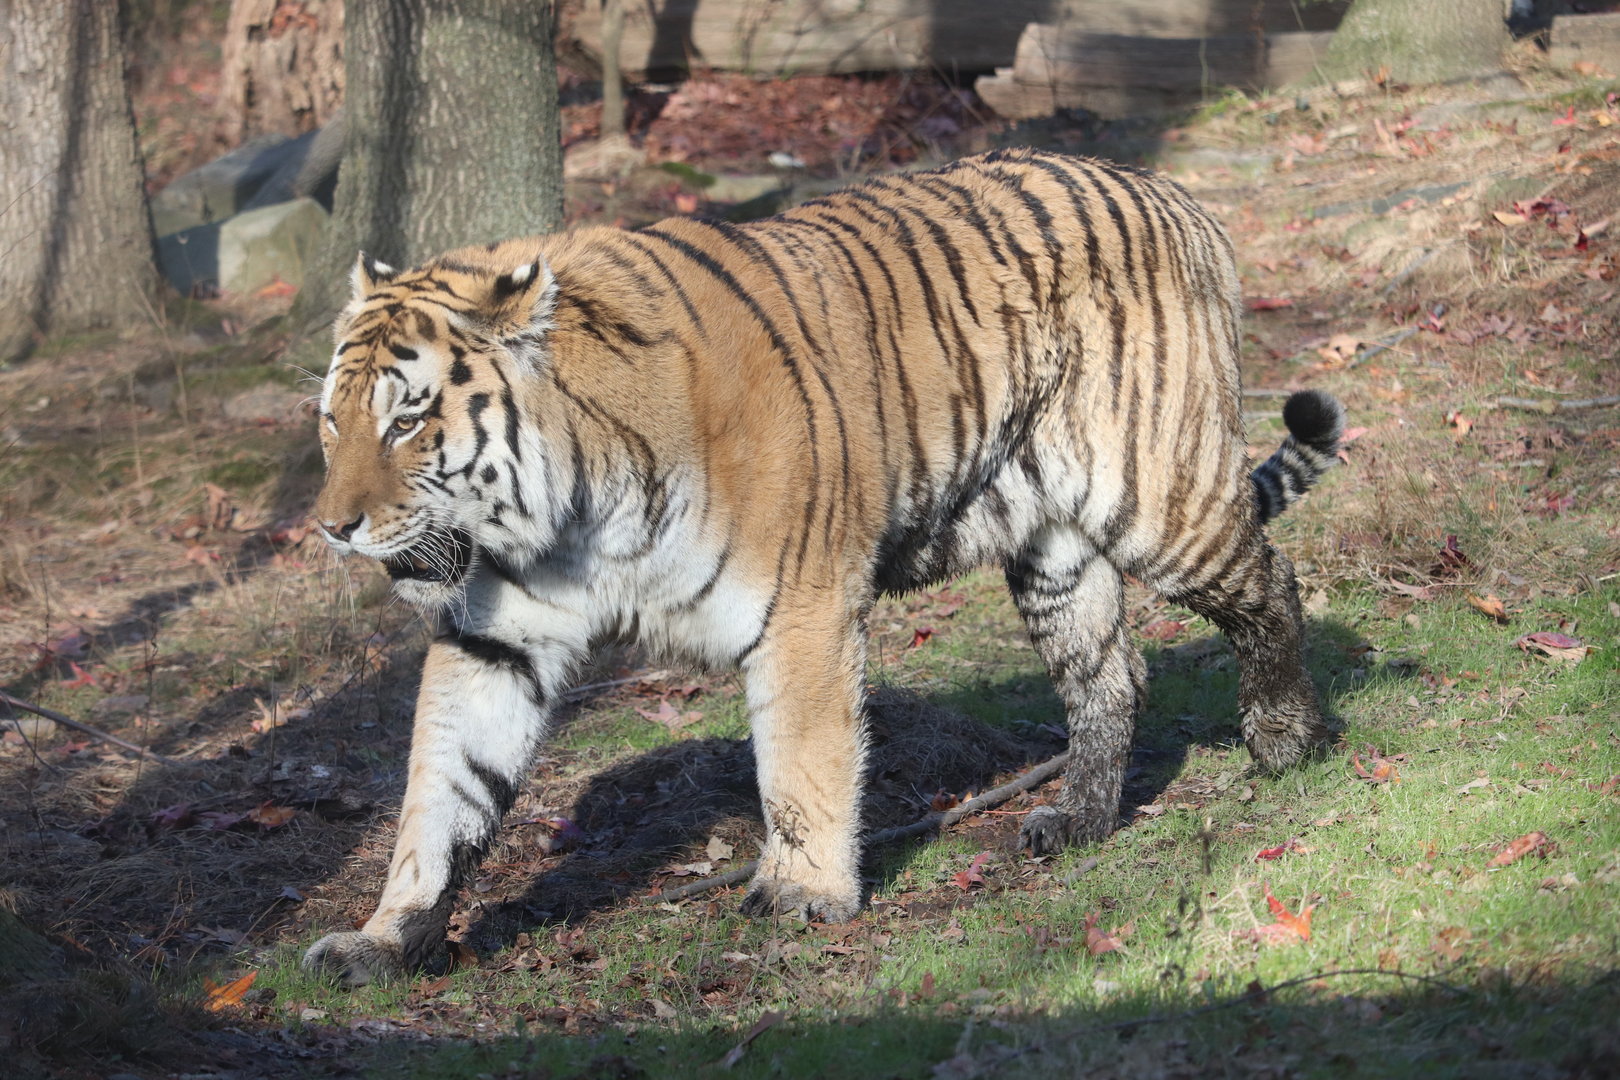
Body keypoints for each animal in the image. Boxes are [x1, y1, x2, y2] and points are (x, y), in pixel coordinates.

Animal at [301, 147, 1344, 985]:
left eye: (408, 419)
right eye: (332, 421)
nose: (332, 527)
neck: (567, 519)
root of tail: (1171, 191)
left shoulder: (799, 604)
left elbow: (802, 759)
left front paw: (803, 894)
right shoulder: (497, 640)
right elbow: (439, 795)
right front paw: (385, 938)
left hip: (1155, 493)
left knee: (1271, 584)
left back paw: (1285, 739)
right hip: (1054, 551)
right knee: (1110, 675)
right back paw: (1076, 820)